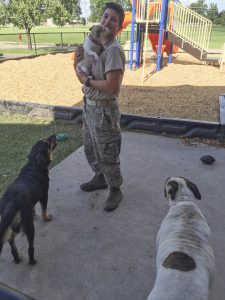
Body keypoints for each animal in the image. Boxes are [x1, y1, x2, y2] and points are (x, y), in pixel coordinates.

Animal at [0, 135, 56, 264]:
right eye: (47, 142)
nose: (54, 135)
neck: (34, 163)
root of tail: (11, 202)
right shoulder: (44, 195)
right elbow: (44, 209)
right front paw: (46, 218)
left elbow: (34, 207)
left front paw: (35, 214)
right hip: (29, 227)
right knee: (30, 247)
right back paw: (32, 261)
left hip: (10, 228)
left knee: (12, 246)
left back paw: (17, 258)